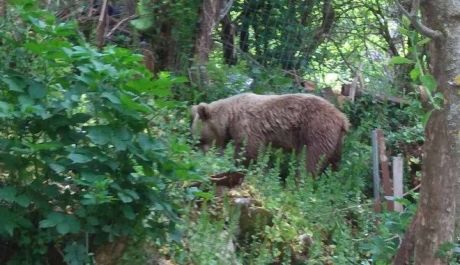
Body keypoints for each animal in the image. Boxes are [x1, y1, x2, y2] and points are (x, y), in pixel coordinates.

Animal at [190, 93, 348, 175]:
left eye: (200, 140)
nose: (200, 154)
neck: (230, 117)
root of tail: (342, 118)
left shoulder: (249, 128)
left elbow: (250, 151)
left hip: (317, 130)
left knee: (311, 161)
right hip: (336, 141)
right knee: (334, 162)